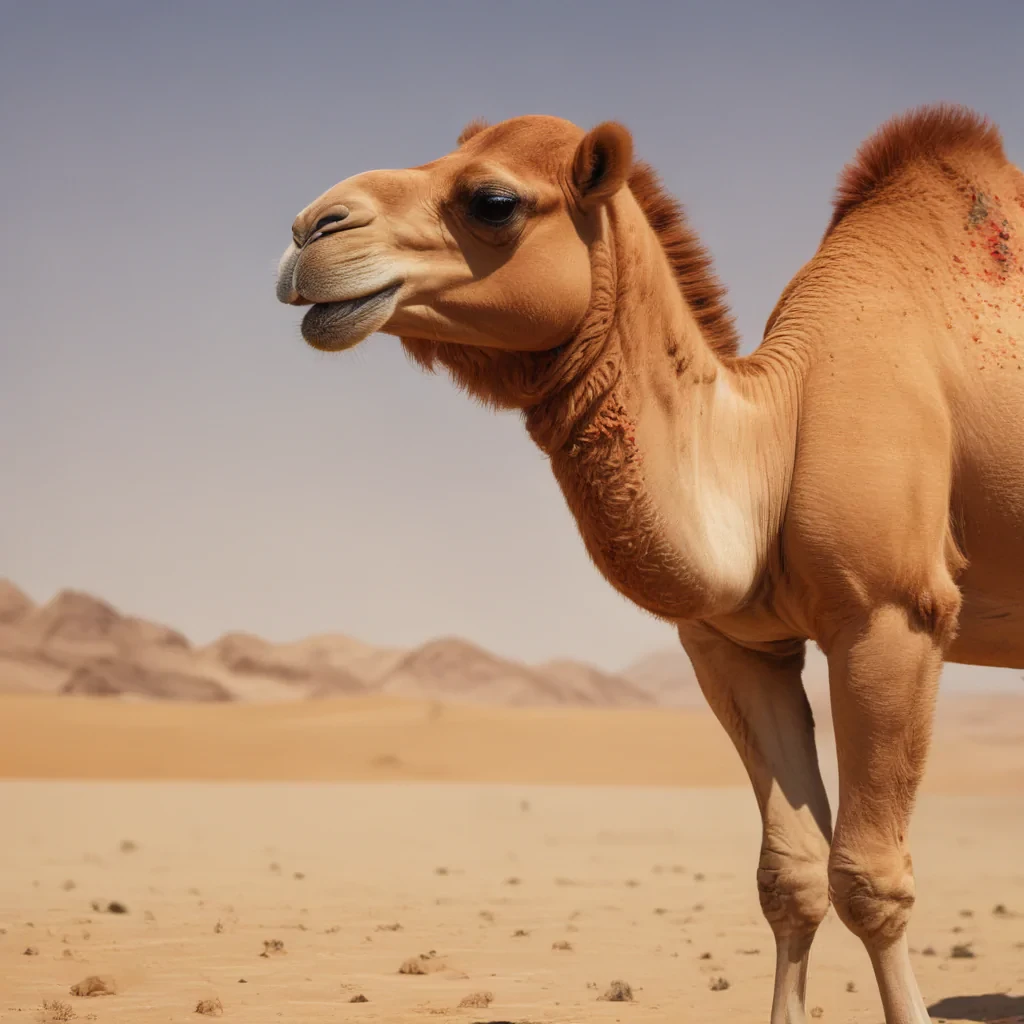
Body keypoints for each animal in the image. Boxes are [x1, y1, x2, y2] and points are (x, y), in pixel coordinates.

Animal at [275, 104, 1024, 1023]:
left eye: (492, 201)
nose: (311, 229)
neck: (775, 436)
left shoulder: (893, 616)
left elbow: (868, 881)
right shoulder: (734, 644)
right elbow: (792, 878)